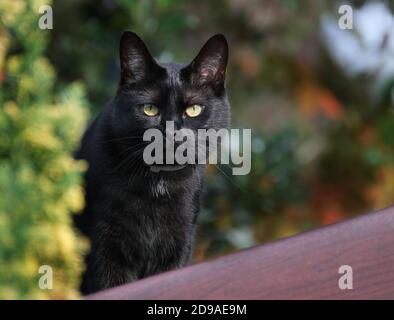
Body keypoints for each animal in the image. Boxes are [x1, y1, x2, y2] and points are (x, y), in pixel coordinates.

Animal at [75, 31, 229, 294]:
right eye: (149, 109)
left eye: (194, 109)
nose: (172, 133)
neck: (158, 183)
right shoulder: (103, 241)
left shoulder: (180, 240)